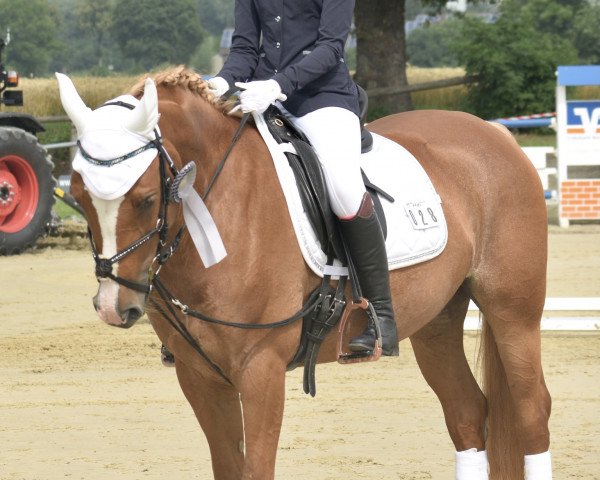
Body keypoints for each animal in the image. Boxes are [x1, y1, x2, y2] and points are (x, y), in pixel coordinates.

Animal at [58, 68, 552, 480]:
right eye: (78, 196)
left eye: (144, 199)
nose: (113, 307)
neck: (224, 205)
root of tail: (493, 131)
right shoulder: (199, 375)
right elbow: (229, 466)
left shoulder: (261, 369)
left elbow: (257, 469)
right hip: (437, 320)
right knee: (466, 413)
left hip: (513, 312)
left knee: (532, 412)